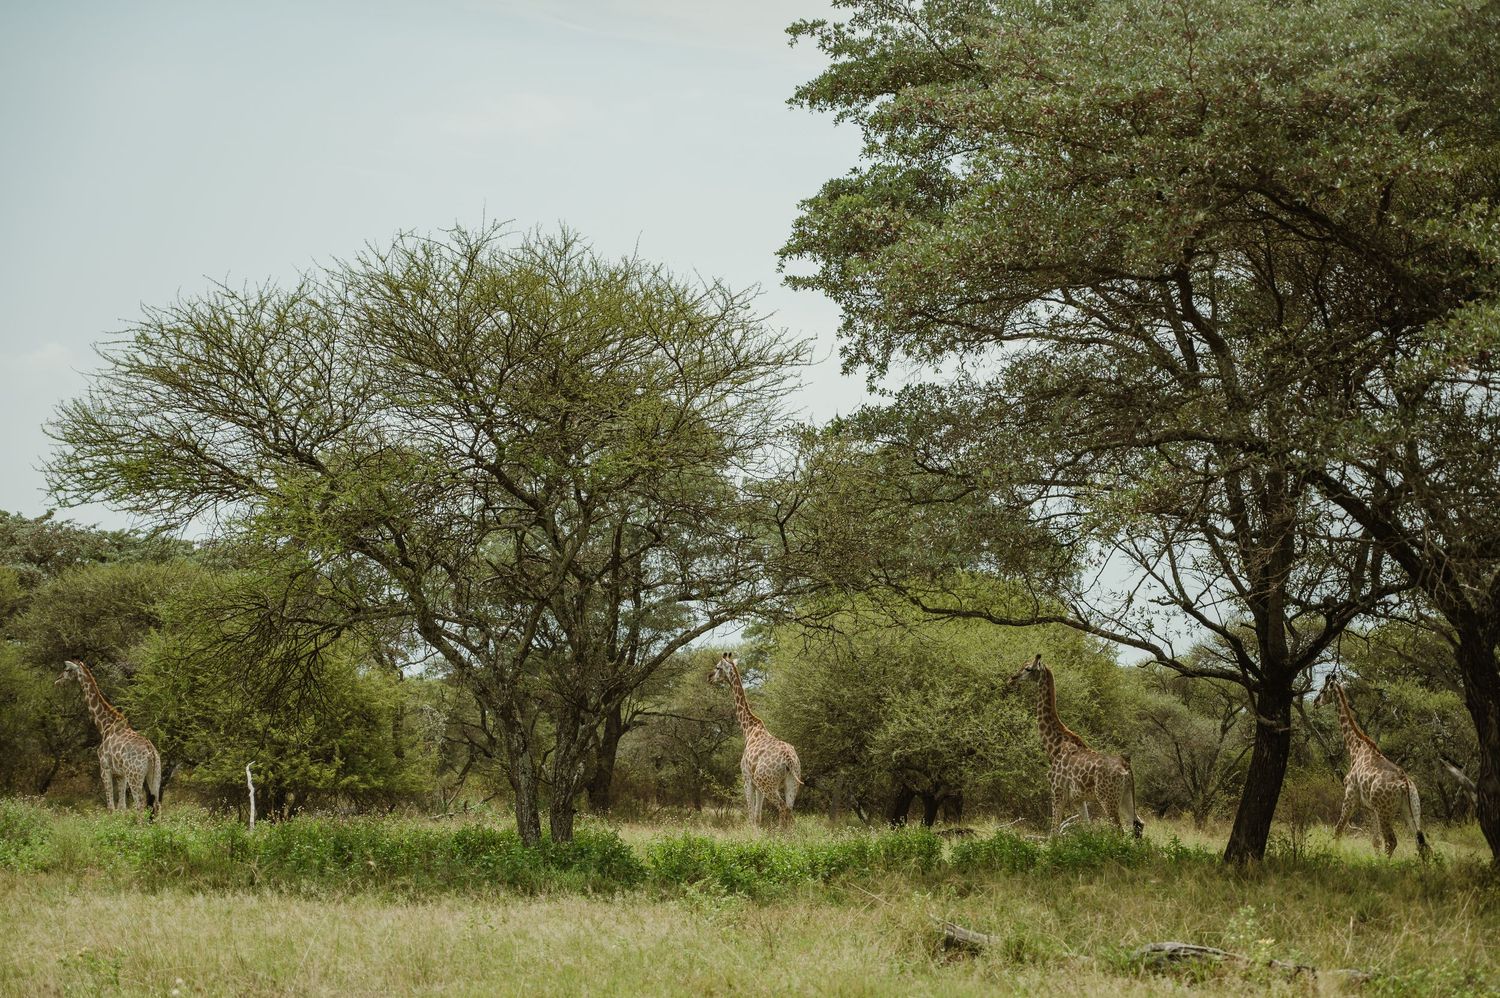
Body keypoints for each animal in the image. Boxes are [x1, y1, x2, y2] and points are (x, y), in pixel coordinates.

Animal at [55, 659, 163, 818]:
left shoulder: (105, 768)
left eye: (67, 669)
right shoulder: (120, 774)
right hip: (154, 775)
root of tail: (151, 753)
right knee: (156, 804)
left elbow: (111, 807)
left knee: (140, 804)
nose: (57, 680)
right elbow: (122, 807)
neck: (105, 725)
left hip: (135, 775)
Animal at [708, 652, 801, 829]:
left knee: (783, 809)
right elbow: (758, 816)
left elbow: (751, 816)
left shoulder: (747, 780)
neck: (748, 730)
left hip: (767, 783)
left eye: (717, 667)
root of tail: (789, 759)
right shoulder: (757, 786)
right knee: (790, 812)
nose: (709, 677)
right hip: (791, 782)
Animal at [1011, 654, 1143, 838]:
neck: (1054, 746)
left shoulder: (1058, 791)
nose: (1012, 678)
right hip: (1126, 796)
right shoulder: (1078, 800)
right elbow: (1087, 829)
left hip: (1107, 798)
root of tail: (1127, 766)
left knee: (1120, 831)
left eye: (1028, 668)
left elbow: (1053, 833)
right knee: (1138, 824)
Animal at [1313, 674, 1430, 860]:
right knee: (1421, 843)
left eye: (1323, 690)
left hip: (1385, 811)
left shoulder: (1350, 796)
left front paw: (1334, 856)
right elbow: (1375, 841)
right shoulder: (1371, 808)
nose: (1315, 702)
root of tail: (1405, 784)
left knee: (1392, 841)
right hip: (1412, 808)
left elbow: (1338, 830)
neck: (1355, 747)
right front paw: (1374, 860)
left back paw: (1386, 864)